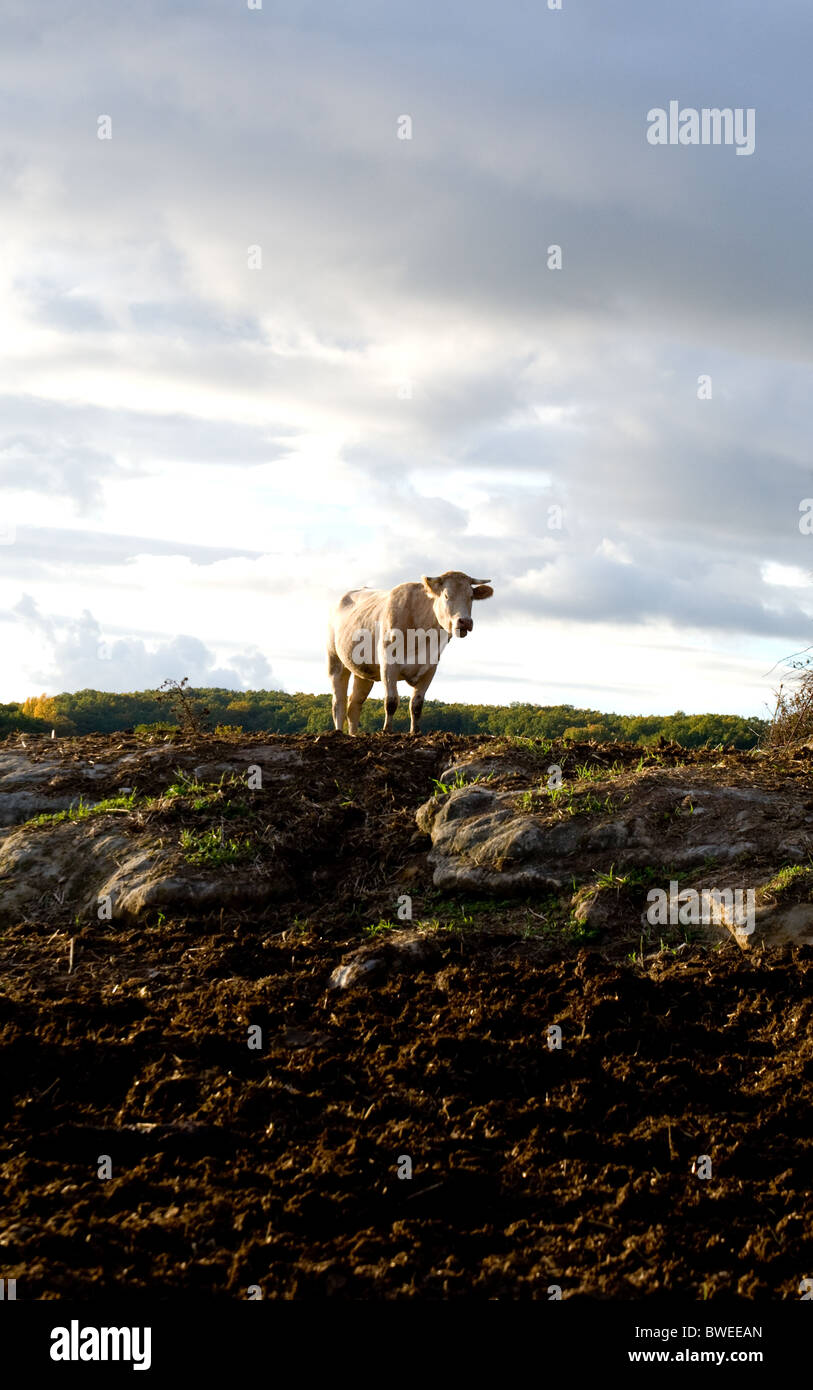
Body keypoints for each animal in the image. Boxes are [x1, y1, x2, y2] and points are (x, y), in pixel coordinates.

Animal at [325, 569, 491, 733]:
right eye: (446, 596)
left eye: (471, 596)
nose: (465, 622)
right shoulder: (388, 664)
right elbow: (391, 701)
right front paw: (387, 731)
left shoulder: (430, 668)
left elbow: (416, 704)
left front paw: (414, 732)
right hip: (335, 661)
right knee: (339, 703)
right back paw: (338, 732)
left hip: (364, 672)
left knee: (354, 705)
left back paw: (353, 735)